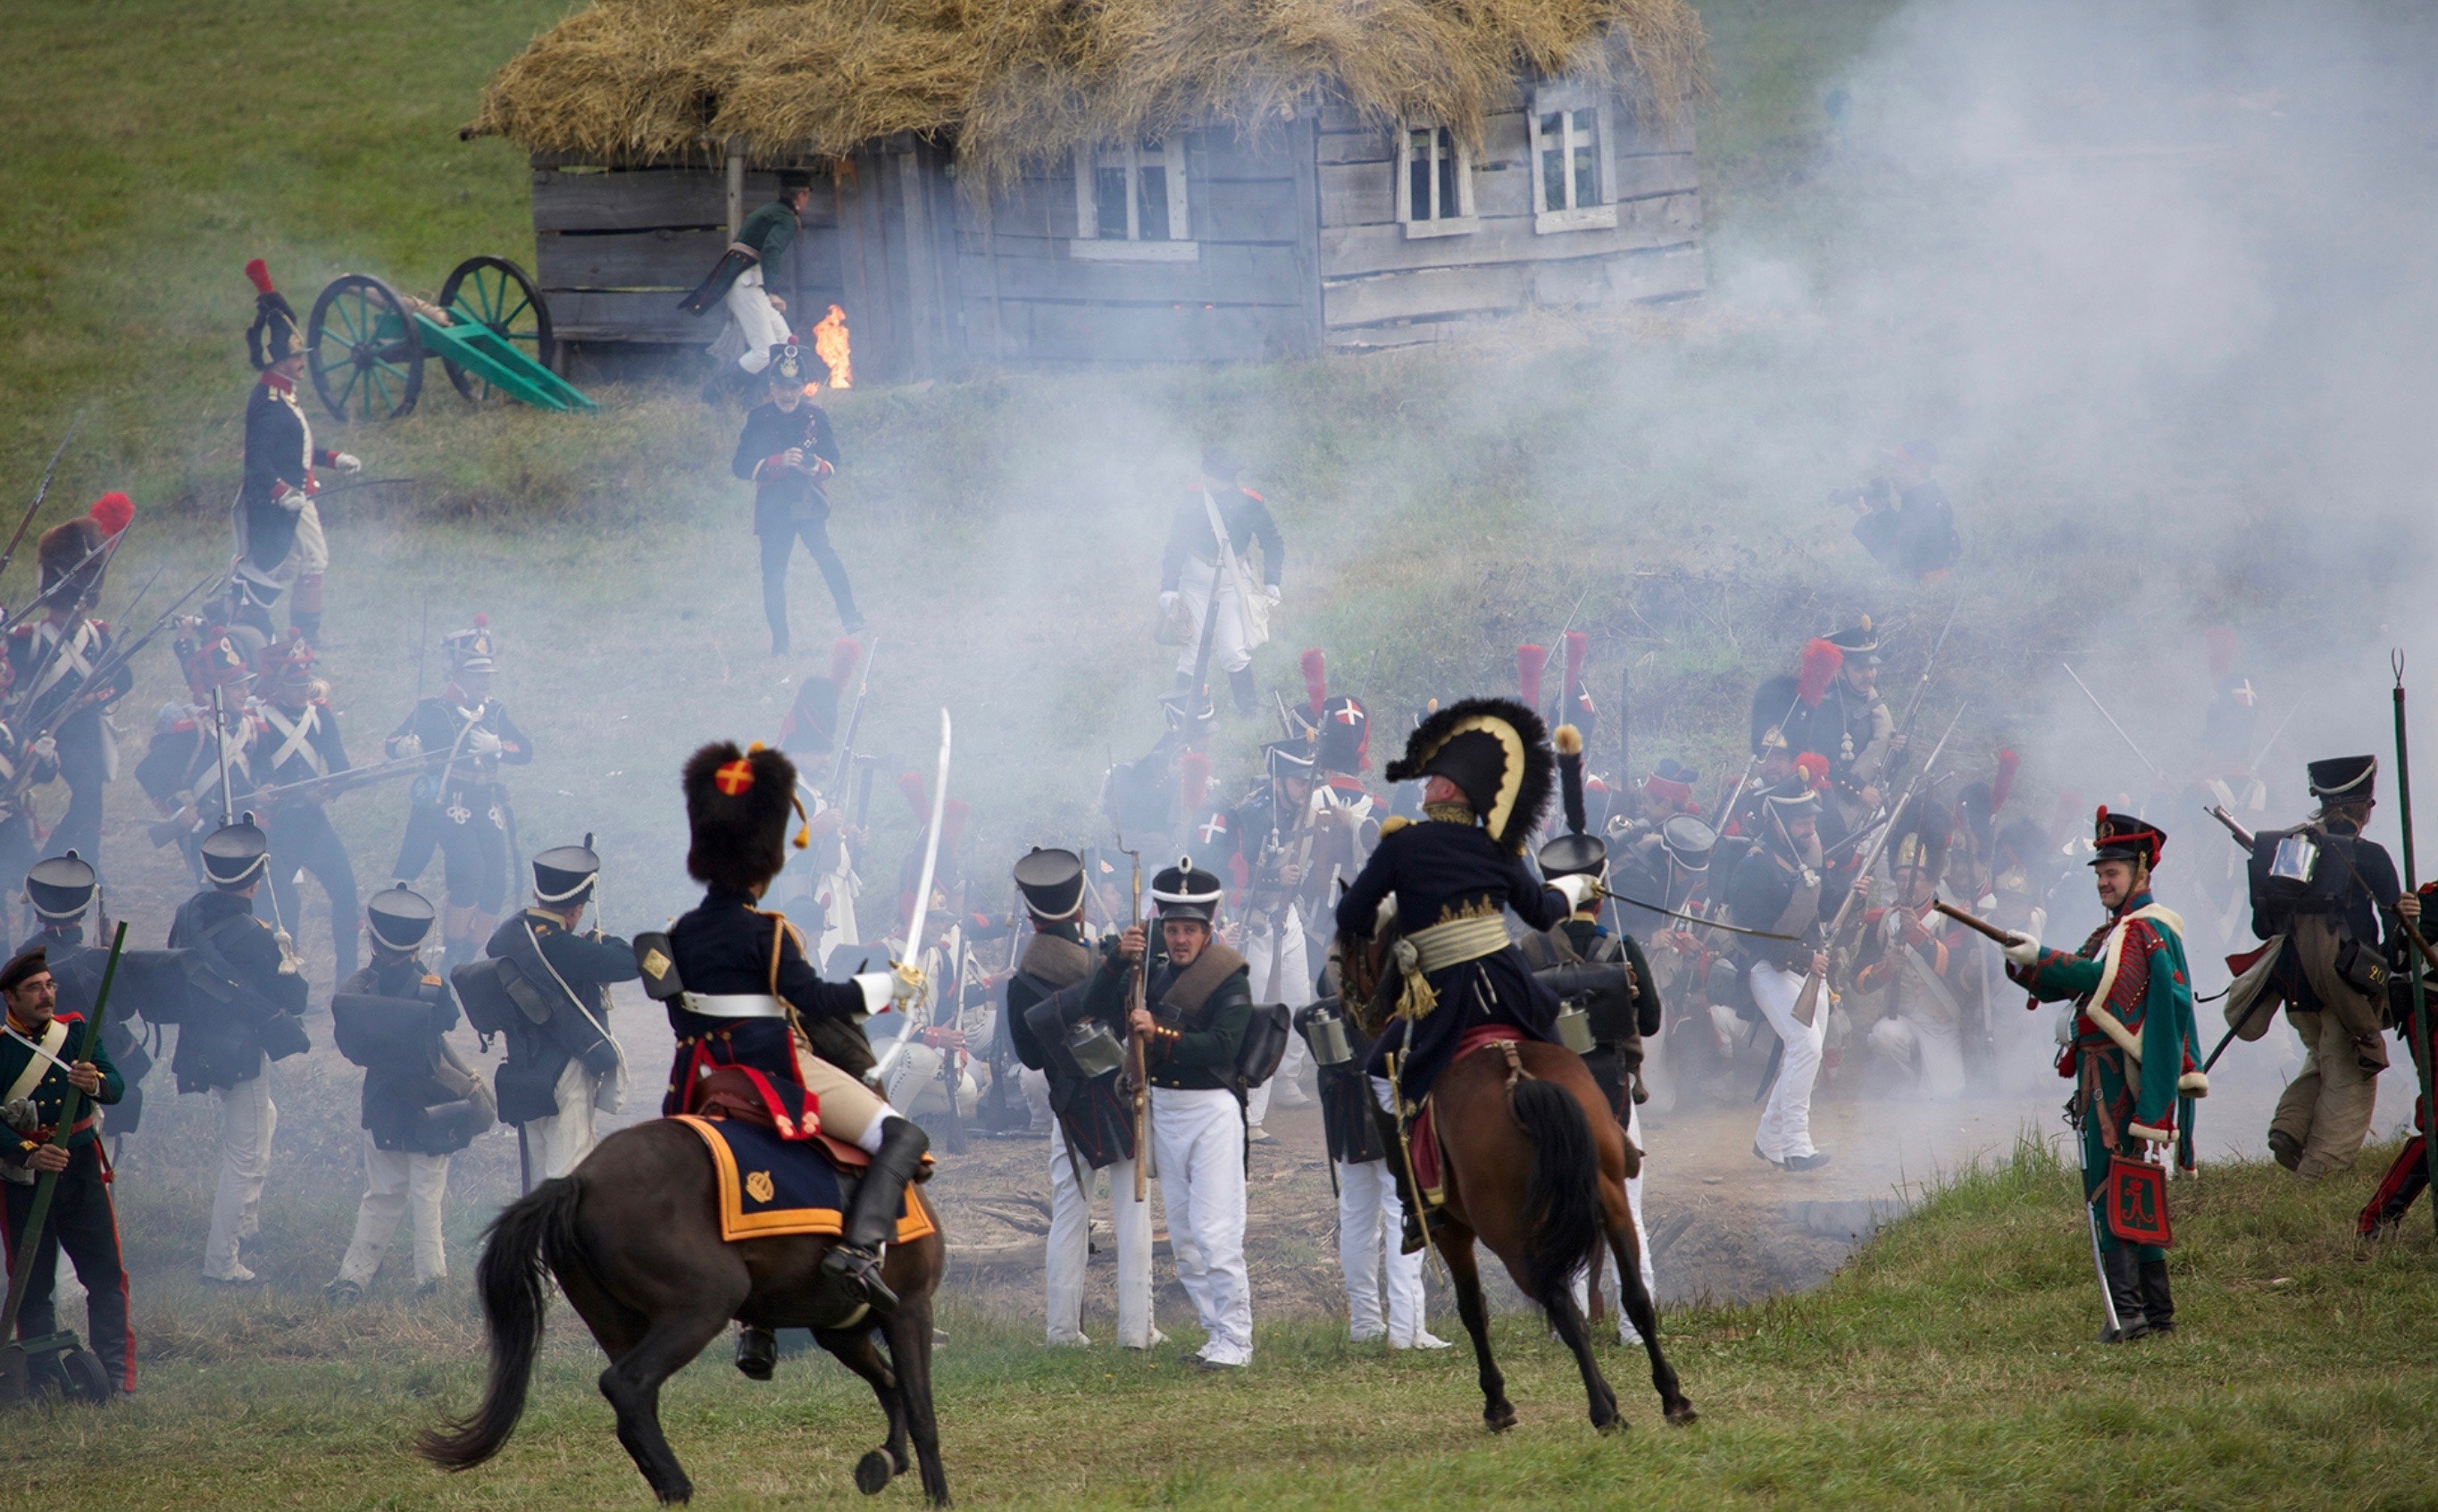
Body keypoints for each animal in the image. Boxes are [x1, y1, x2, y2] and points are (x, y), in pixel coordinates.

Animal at [414, 1116, 946, 1502]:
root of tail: (581, 1179)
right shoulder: (910, 1310)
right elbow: (921, 1407)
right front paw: (937, 1494)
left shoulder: (843, 1330)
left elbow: (892, 1386)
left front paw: (888, 1460)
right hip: (702, 1306)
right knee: (626, 1385)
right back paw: (679, 1487)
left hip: (619, 1323)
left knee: (634, 1405)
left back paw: (668, 1486)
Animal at [1424, 1033, 1697, 1433]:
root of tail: (1520, 1080)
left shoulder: (1452, 1233)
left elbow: (1473, 1309)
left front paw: (1496, 1404)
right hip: (1614, 1208)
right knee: (1636, 1298)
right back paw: (1672, 1399)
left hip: (1513, 1243)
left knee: (1566, 1313)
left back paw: (1603, 1412)